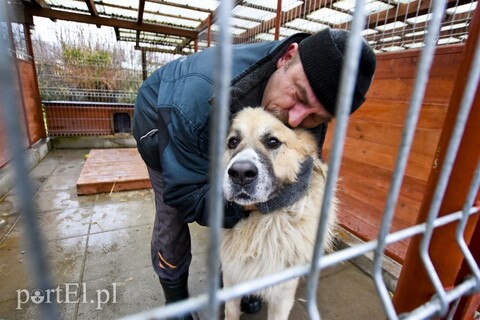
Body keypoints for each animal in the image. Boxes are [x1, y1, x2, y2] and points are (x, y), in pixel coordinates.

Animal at [221, 108, 338, 320]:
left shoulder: (282, 294)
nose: (240, 173)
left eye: (272, 142)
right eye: (233, 142)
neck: (261, 224)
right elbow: (231, 312)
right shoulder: (231, 276)